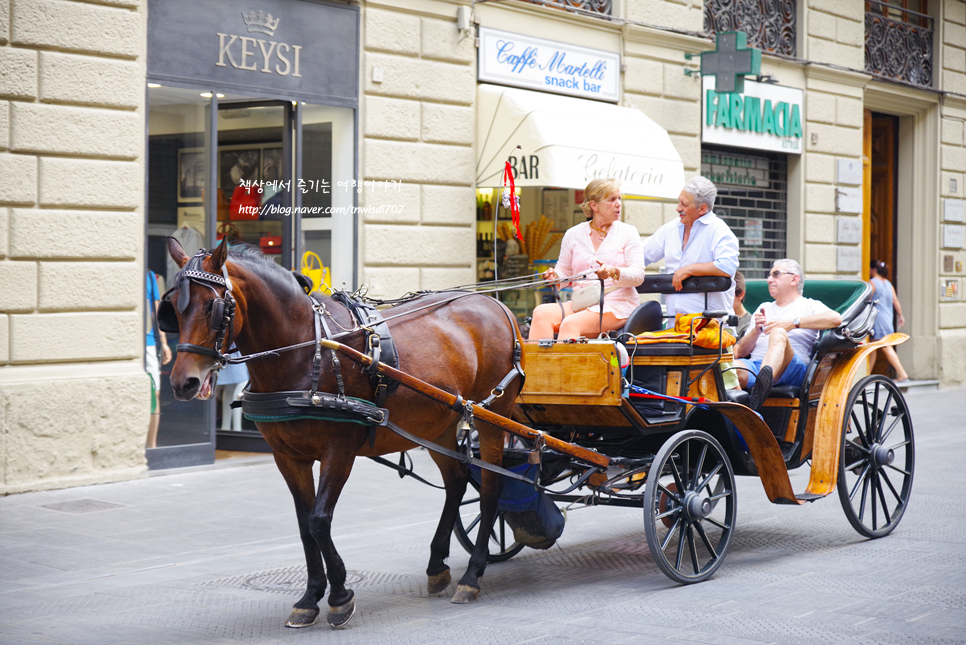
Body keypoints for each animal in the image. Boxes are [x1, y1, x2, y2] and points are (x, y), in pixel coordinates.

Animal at [168, 236, 528, 624]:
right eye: (172, 308)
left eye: (213, 307)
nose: (183, 383)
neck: (306, 349)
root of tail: (497, 305)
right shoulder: (287, 457)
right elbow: (304, 524)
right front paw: (310, 597)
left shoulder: (338, 451)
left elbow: (319, 520)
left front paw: (340, 595)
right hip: (437, 425)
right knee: (458, 483)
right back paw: (436, 566)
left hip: (492, 418)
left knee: (491, 489)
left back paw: (472, 575)